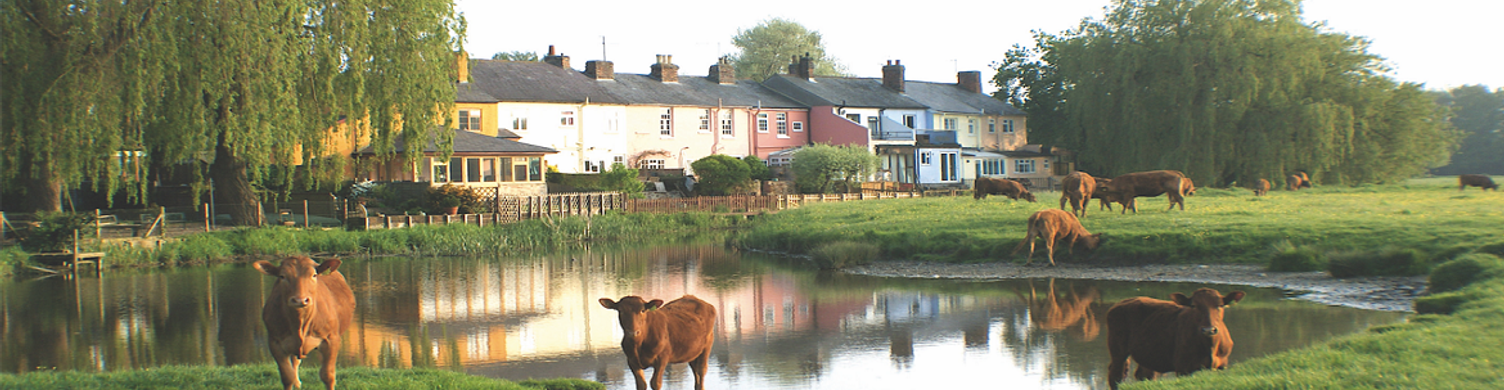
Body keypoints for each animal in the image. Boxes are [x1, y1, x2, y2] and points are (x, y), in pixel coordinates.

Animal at [255, 257, 357, 390]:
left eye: (313, 275)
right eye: (282, 276)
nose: (300, 300)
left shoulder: (332, 339)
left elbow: (327, 375)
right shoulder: (275, 343)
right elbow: (287, 376)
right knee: (295, 361)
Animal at [1106, 287, 1245, 390]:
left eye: (1220, 305)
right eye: (1194, 306)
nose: (1208, 330)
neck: (1210, 348)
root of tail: (1122, 302)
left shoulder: (1222, 365)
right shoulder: (1183, 367)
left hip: (1147, 353)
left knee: (1144, 374)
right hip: (1117, 350)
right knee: (1116, 376)